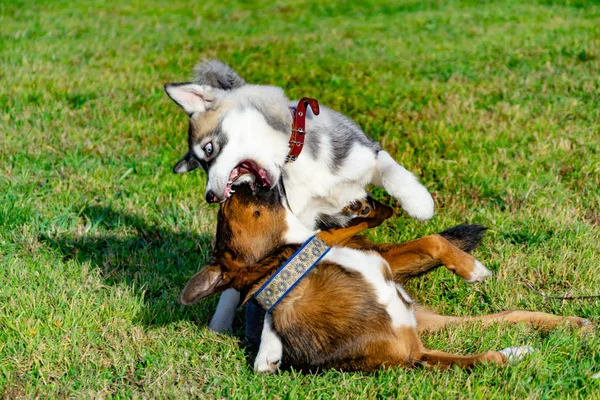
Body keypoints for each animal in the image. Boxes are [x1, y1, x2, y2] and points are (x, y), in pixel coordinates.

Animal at [179, 184, 592, 372]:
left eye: (226, 211)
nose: (228, 187)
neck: (302, 262)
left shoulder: (370, 256)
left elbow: (432, 239)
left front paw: (470, 267)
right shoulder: (413, 354)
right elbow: (482, 358)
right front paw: (512, 354)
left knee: (509, 314)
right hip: (424, 324)